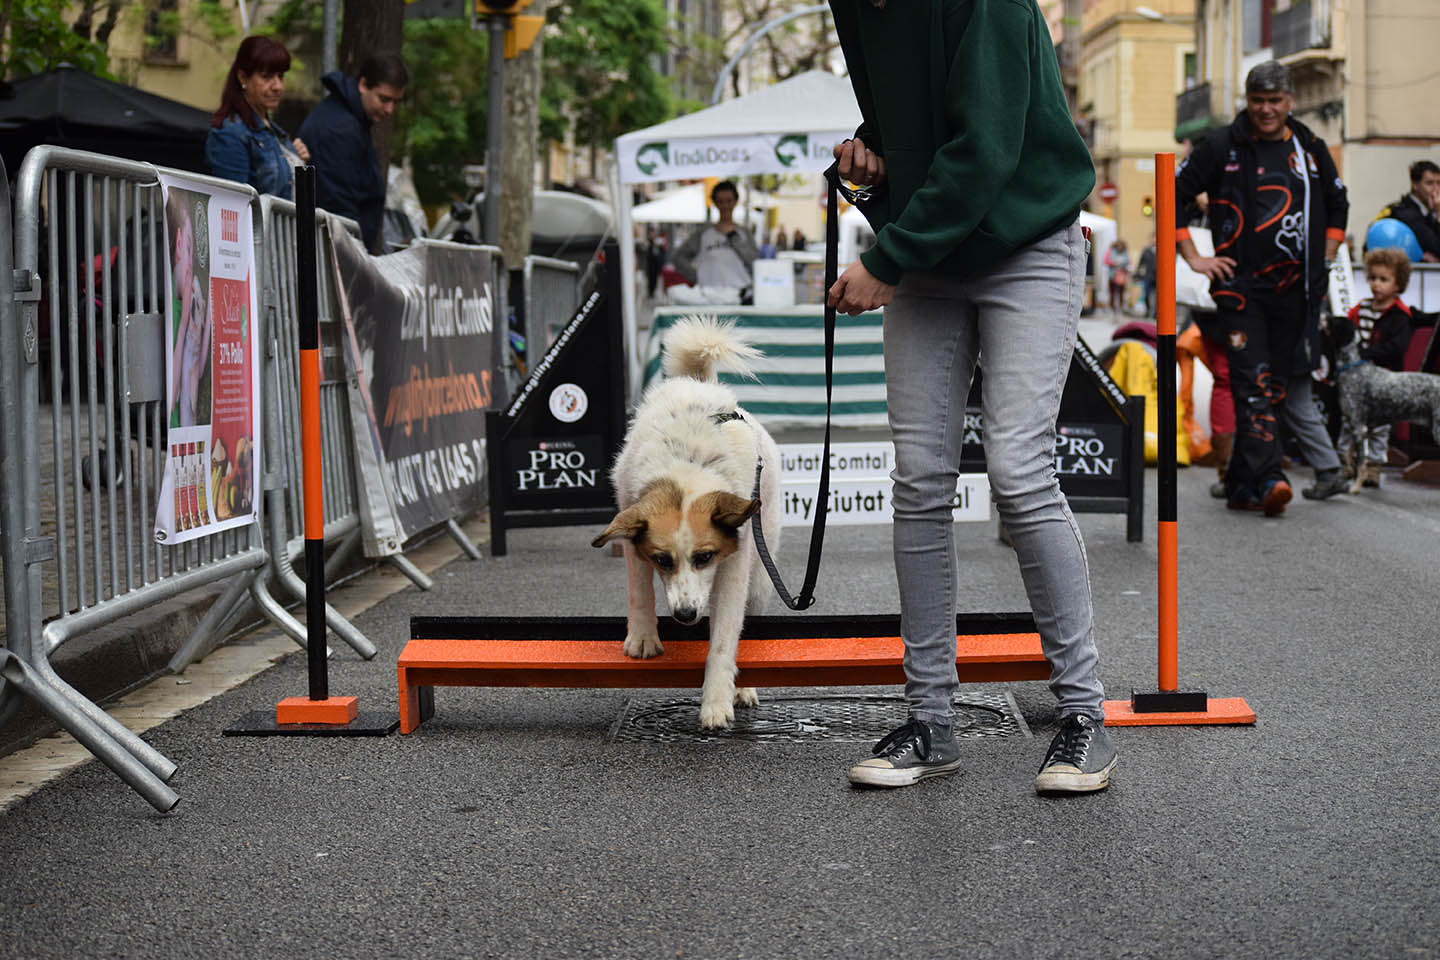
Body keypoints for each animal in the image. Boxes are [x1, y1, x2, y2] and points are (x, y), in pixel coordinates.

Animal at [591, 316, 782, 729]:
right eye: (662, 560)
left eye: (705, 557)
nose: (685, 615)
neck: (687, 465)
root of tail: (700, 385)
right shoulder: (632, 527)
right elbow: (639, 590)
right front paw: (643, 636)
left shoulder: (734, 565)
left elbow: (725, 638)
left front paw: (716, 700)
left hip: (762, 572)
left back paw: (744, 688)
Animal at [1330, 314, 1440, 493]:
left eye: (1334, 320)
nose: (1323, 315)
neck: (1352, 368)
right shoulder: (1360, 426)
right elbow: (1348, 452)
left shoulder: (1358, 426)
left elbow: (1361, 462)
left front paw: (1355, 487)